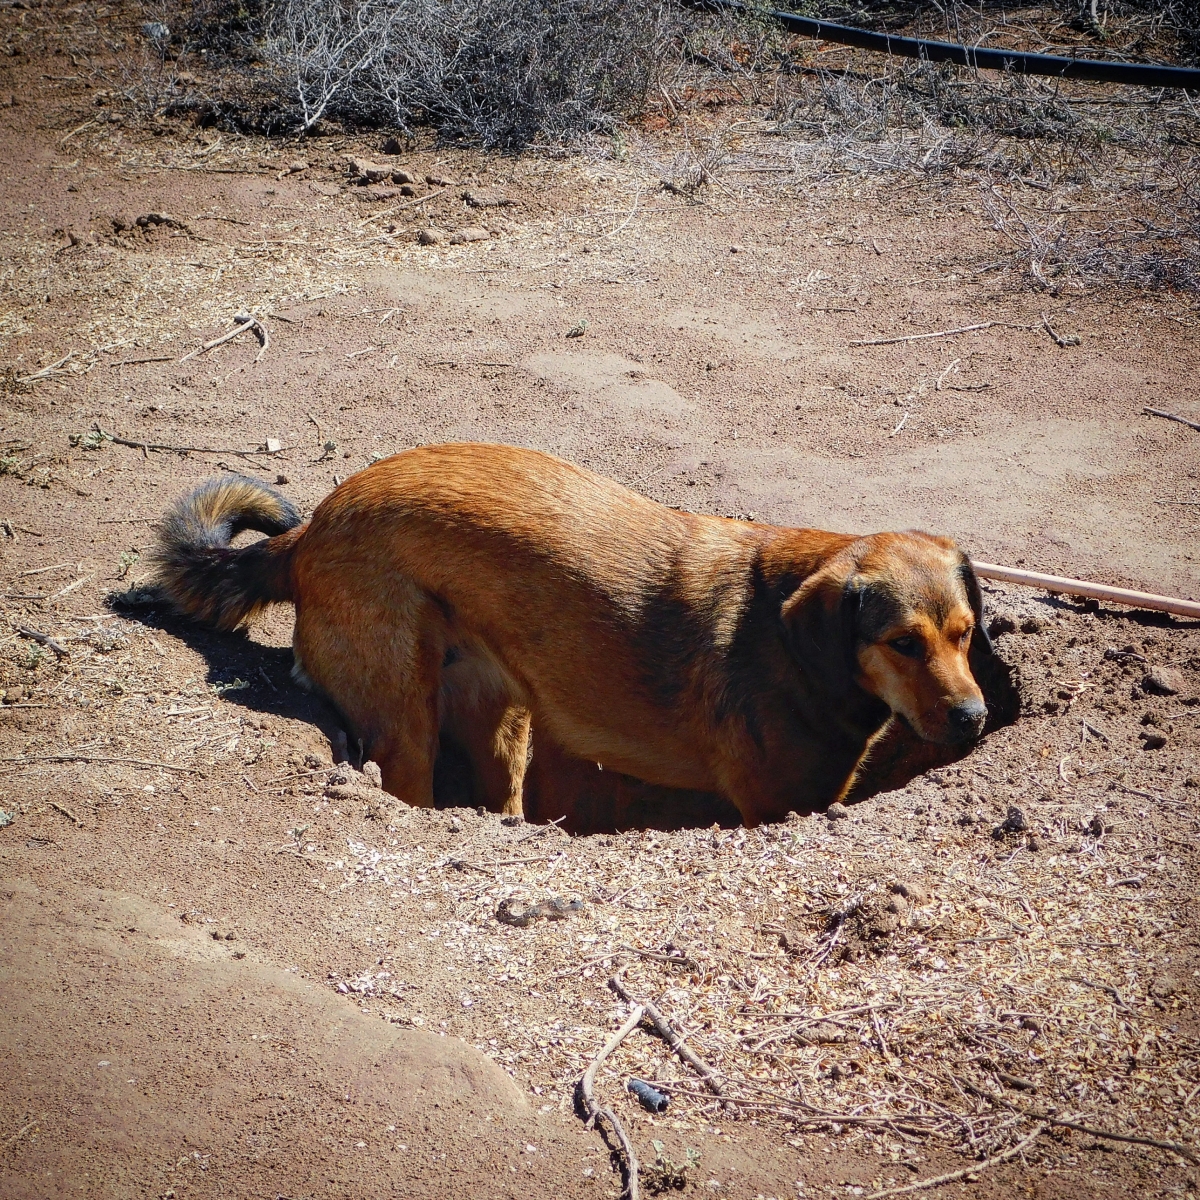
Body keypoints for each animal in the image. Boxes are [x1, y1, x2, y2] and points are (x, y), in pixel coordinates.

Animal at [154, 446, 988, 830]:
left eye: (964, 635)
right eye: (903, 643)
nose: (975, 719)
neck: (789, 639)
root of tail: (309, 531)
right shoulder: (769, 807)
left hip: (502, 723)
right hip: (405, 721)